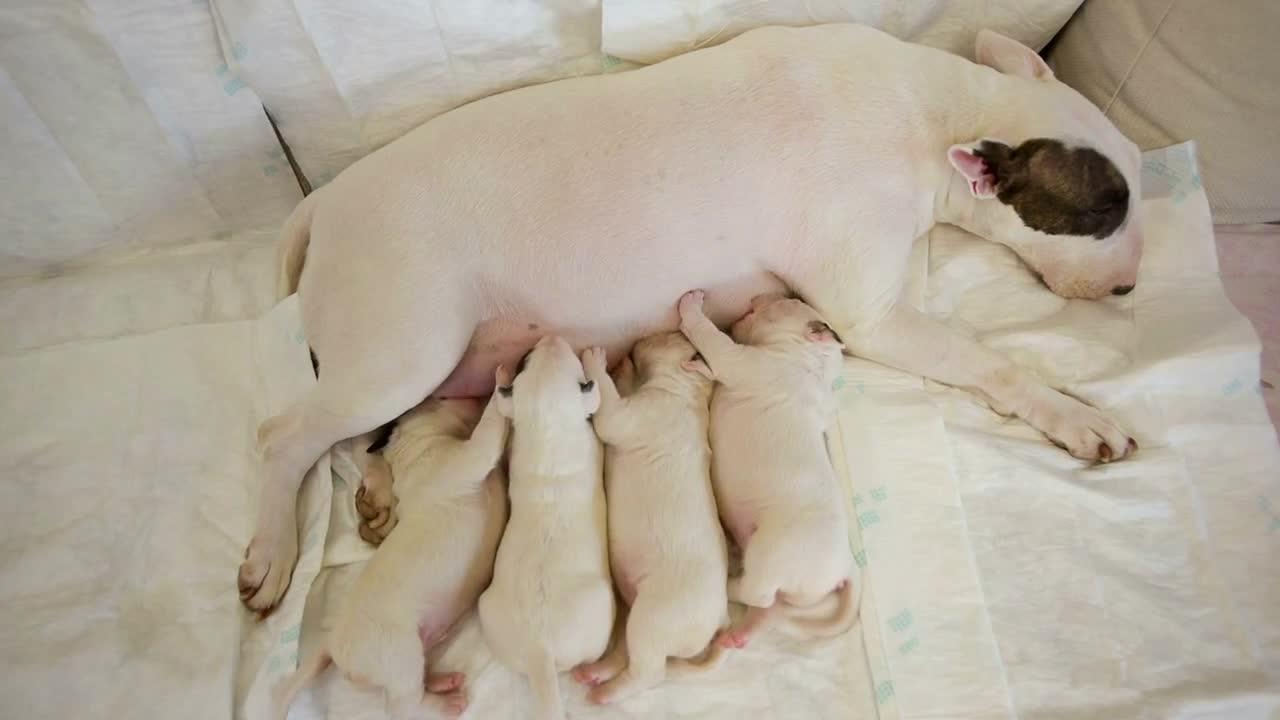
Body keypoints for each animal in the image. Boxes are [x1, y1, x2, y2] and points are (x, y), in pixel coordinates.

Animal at [240, 22, 1141, 607]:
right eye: (1105, 210)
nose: (1132, 287)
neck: (941, 110)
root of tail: (320, 205)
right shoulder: (875, 315)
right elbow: (992, 361)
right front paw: (1078, 415)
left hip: (399, 367)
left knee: (352, 438)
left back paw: (378, 493)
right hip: (401, 348)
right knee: (287, 436)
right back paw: (272, 554)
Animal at [272, 392, 506, 717]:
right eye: (442, 396)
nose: (474, 393)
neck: (411, 446)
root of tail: (332, 644)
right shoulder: (465, 460)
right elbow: (487, 434)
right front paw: (500, 391)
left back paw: (441, 683)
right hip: (400, 658)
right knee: (405, 704)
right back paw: (447, 704)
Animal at [476, 335, 614, 717]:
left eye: (525, 361)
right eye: (573, 361)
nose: (551, 337)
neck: (547, 431)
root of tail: (540, 650)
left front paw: (500, 378)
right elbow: (598, 400)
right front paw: (596, 360)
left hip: (488, 612)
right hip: (601, 613)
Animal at [573, 335, 732, 702]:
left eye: (670, 337)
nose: (637, 340)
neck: (690, 391)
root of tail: (720, 618)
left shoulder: (643, 411)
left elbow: (610, 415)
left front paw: (597, 360)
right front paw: (622, 369)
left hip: (655, 618)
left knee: (648, 672)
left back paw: (605, 693)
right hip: (636, 611)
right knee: (625, 652)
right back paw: (595, 673)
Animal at [680, 288, 860, 648]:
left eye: (788, 302)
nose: (784, 291)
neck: (812, 360)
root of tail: (846, 568)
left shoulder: (742, 361)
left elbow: (712, 338)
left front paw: (690, 306)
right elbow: (711, 369)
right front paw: (696, 365)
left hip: (772, 553)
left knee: (758, 594)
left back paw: (730, 582)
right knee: (766, 609)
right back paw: (740, 634)